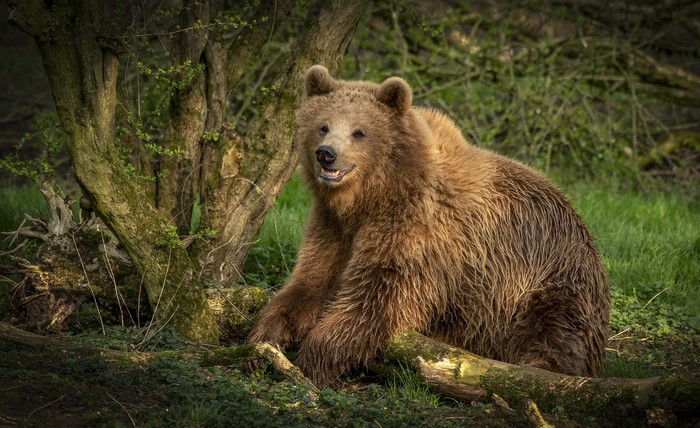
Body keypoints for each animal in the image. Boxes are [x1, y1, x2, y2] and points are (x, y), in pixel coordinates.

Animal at [246, 65, 610, 389]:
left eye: (359, 132)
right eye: (323, 126)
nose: (327, 154)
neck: (372, 197)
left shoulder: (416, 231)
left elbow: (375, 298)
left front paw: (311, 361)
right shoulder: (333, 227)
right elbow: (311, 281)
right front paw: (265, 338)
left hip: (550, 278)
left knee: (555, 329)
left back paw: (534, 369)